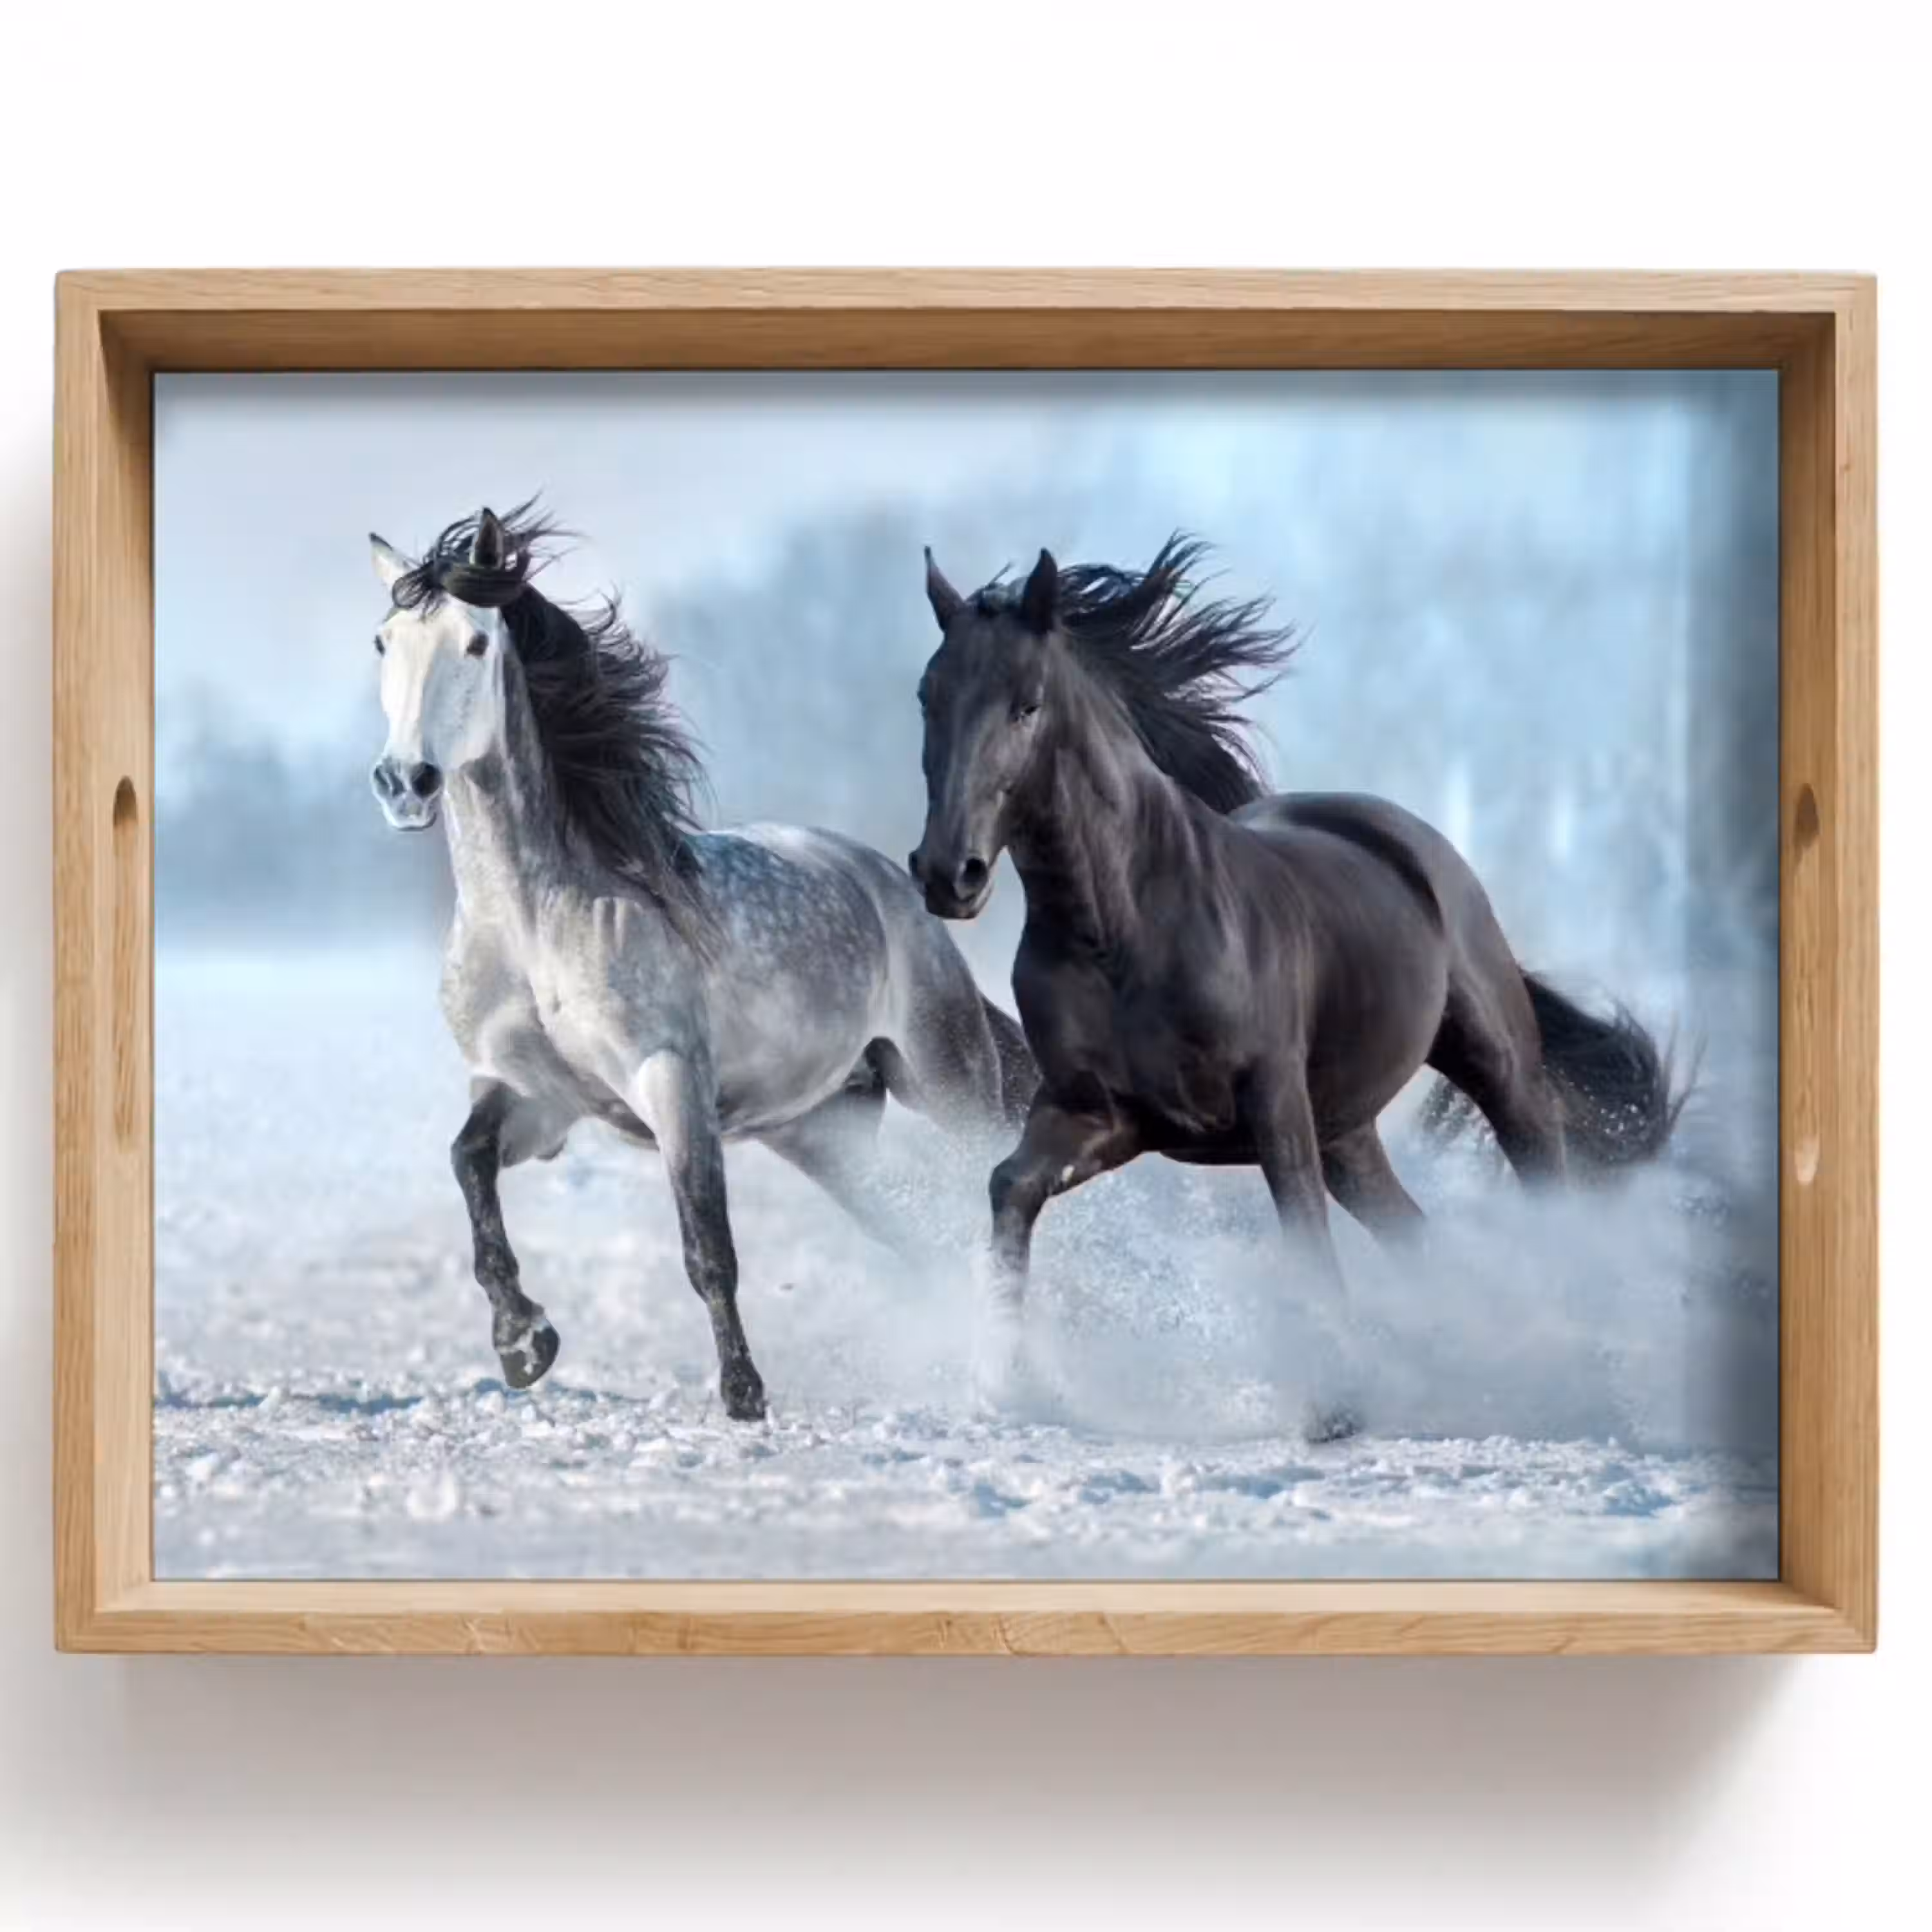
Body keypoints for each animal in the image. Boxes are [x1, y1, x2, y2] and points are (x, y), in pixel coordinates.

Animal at [366, 502, 1033, 1420]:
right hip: (822, 1132)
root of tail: (891, 887)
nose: (406, 782)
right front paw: (524, 1342)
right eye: (384, 641)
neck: (536, 925)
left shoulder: (671, 1082)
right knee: (921, 1234)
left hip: (948, 1081)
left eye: (474, 643)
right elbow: (469, 1166)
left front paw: (743, 1395)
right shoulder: (532, 1096)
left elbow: (707, 1245)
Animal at [908, 534, 1683, 1387]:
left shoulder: (1274, 1105)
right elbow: (1010, 1187)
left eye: (1028, 703)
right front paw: (1004, 1372)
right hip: (1348, 1131)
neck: (1123, 931)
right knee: (1416, 1235)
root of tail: (1404, 837)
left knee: (1544, 1180)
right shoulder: (1100, 1115)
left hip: (1496, 1067)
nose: (948, 874)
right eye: (927, 696)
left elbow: (1309, 1251)